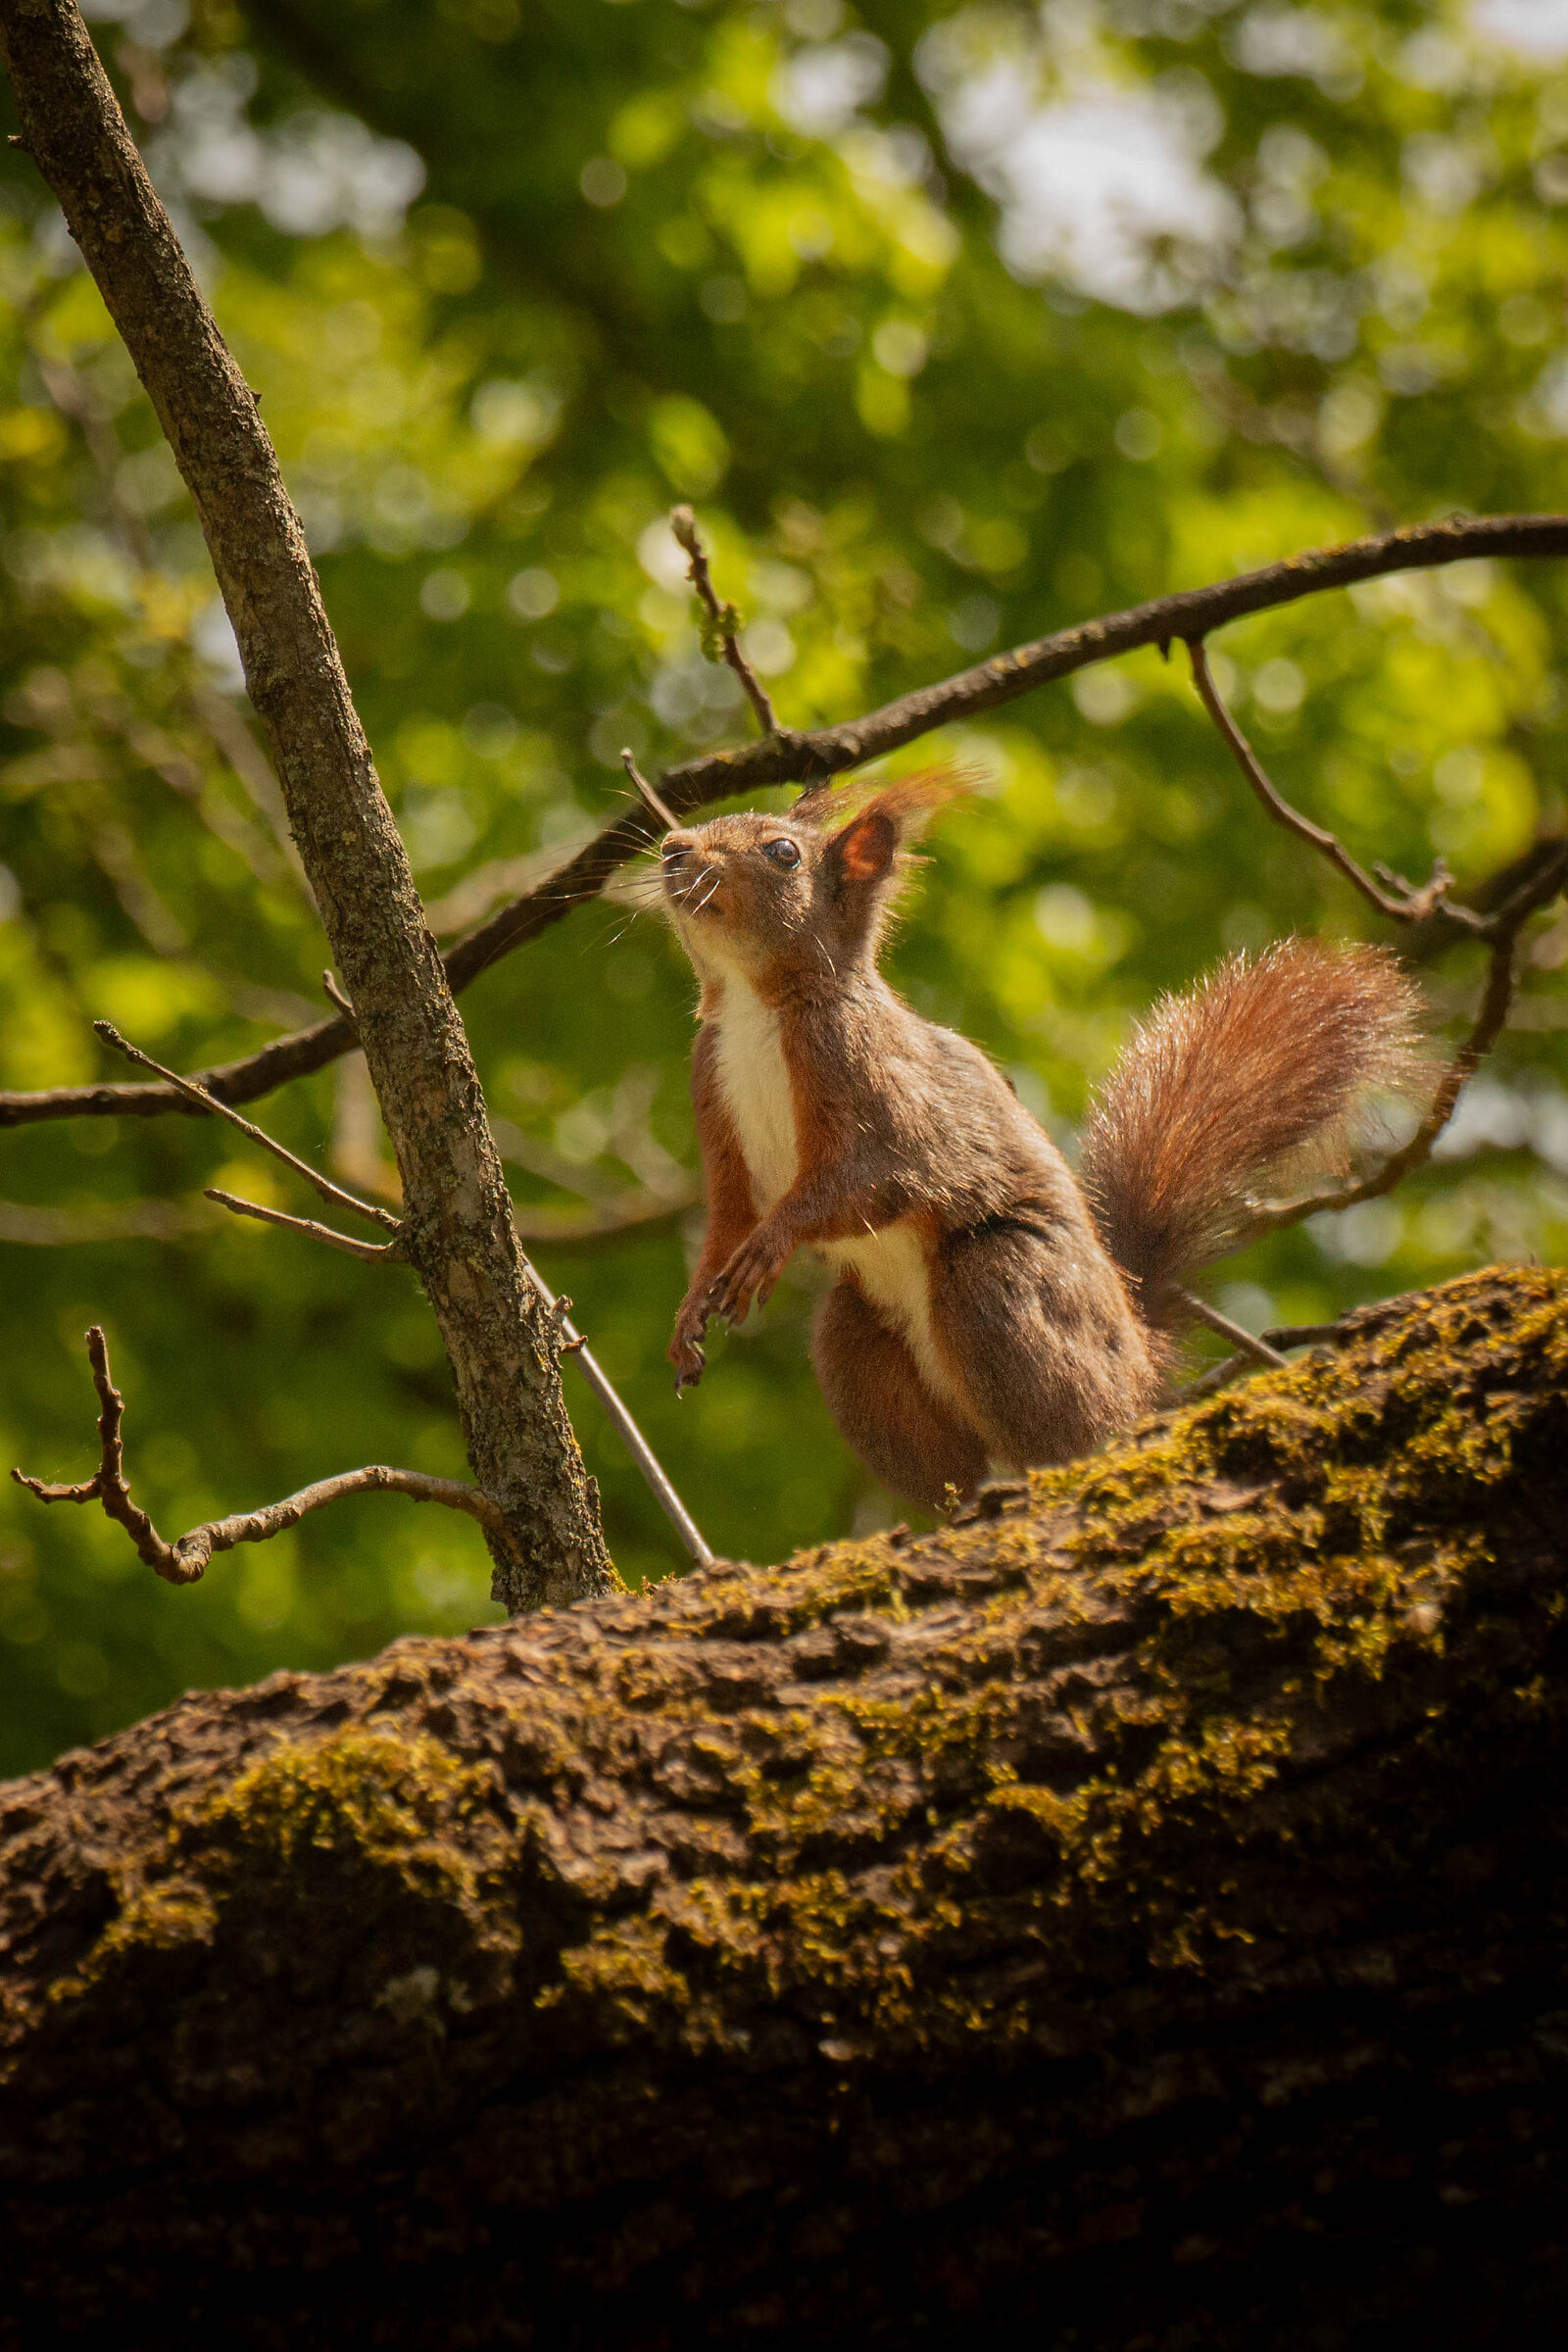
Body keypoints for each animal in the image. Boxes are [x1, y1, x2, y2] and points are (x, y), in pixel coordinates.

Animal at [661, 774, 1421, 1508]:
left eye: (782, 852)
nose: (672, 849)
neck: (756, 1005)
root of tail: (1138, 1368)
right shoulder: (711, 1090)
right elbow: (729, 1215)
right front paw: (692, 1309)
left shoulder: (877, 1086)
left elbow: (873, 1179)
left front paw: (774, 1242)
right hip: (861, 1347)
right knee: (943, 1461)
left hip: (1003, 1287)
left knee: (1064, 1423)